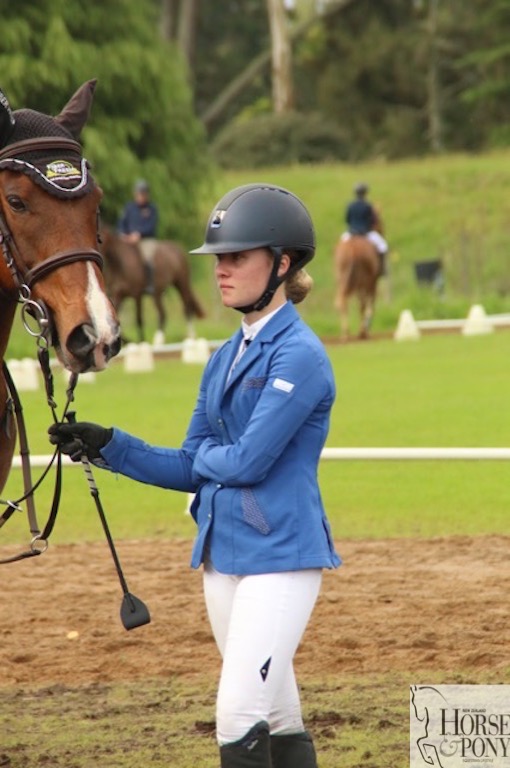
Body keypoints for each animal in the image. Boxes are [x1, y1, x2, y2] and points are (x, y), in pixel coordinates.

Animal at [332, 212, 384, 340]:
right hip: (364, 280)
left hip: (342, 278)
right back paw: (362, 332)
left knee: (343, 302)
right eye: (379, 220)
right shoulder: (372, 282)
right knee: (363, 304)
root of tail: (352, 247)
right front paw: (366, 329)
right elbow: (370, 304)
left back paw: (345, 333)